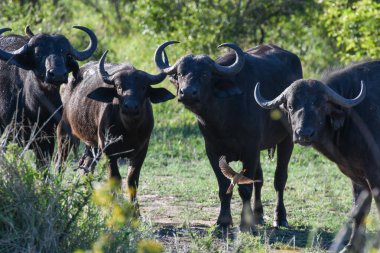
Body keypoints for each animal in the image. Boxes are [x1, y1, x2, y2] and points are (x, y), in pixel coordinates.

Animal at [0, 26, 97, 168]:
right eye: (38, 53)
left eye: (66, 54)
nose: (57, 74)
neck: (36, 108)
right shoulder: (7, 137)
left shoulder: (48, 142)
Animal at [54, 50, 174, 207]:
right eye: (118, 86)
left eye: (143, 87)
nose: (130, 107)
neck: (129, 131)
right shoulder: (109, 152)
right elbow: (115, 179)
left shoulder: (142, 151)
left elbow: (132, 180)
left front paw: (135, 210)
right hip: (65, 134)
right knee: (60, 163)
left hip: (92, 145)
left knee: (87, 167)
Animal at [154, 41, 302, 231]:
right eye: (180, 73)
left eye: (205, 74)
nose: (187, 93)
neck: (223, 118)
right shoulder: (213, 151)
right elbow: (224, 186)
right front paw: (223, 221)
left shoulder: (250, 150)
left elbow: (245, 189)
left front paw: (245, 224)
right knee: (259, 179)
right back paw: (258, 216)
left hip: (287, 140)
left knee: (280, 179)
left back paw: (280, 217)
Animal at [254, 60, 380, 252]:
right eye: (291, 105)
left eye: (320, 105)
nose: (303, 134)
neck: (352, 115)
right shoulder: (358, 176)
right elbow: (360, 211)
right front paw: (351, 246)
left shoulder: (374, 174)